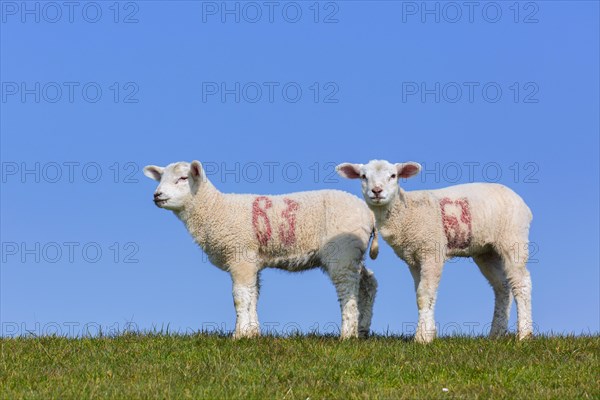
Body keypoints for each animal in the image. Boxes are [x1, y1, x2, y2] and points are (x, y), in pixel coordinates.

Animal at [144, 161, 380, 340]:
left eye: (183, 178)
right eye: (160, 178)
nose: (157, 195)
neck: (214, 210)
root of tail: (369, 213)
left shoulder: (239, 255)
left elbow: (240, 296)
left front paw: (239, 335)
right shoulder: (251, 260)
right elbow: (253, 295)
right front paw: (252, 333)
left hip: (342, 251)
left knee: (347, 288)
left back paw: (347, 334)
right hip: (354, 253)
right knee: (368, 283)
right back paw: (362, 328)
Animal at [338, 159, 536, 344]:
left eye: (393, 176)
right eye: (363, 176)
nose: (377, 191)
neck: (406, 212)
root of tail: (523, 204)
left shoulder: (431, 251)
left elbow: (424, 293)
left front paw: (422, 338)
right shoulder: (414, 259)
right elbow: (421, 294)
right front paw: (430, 332)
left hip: (513, 239)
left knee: (521, 282)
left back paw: (524, 335)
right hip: (486, 251)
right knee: (502, 286)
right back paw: (496, 333)